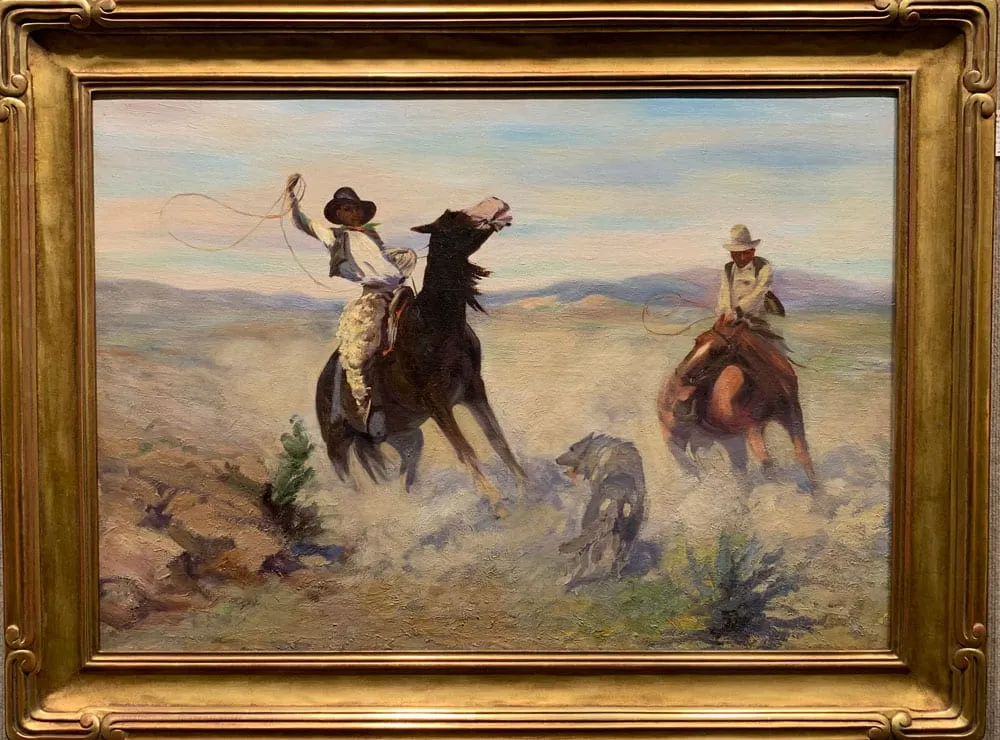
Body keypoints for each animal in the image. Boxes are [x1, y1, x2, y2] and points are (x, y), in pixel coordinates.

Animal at [315, 197, 527, 517]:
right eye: (453, 217)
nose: (497, 204)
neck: (437, 326)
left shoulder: (474, 391)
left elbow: (497, 440)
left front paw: (528, 486)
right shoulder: (437, 402)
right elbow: (465, 449)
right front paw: (496, 500)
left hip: (404, 439)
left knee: (399, 472)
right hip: (337, 446)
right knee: (349, 480)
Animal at [556, 433, 647, 590]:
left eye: (572, 448)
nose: (556, 460)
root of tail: (619, 492)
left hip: (590, 523)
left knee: (585, 556)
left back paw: (570, 581)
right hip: (628, 527)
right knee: (618, 553)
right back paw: (615, 574)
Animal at [656, 314, 817, 490]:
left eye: (717, 350)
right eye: (697, 341)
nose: (681, 374)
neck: (770, 384)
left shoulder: (793, 417)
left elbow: (803, 456)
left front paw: (815, 490)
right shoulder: (752, 428)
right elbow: (767, 463)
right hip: (675, 438)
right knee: (690, 467)